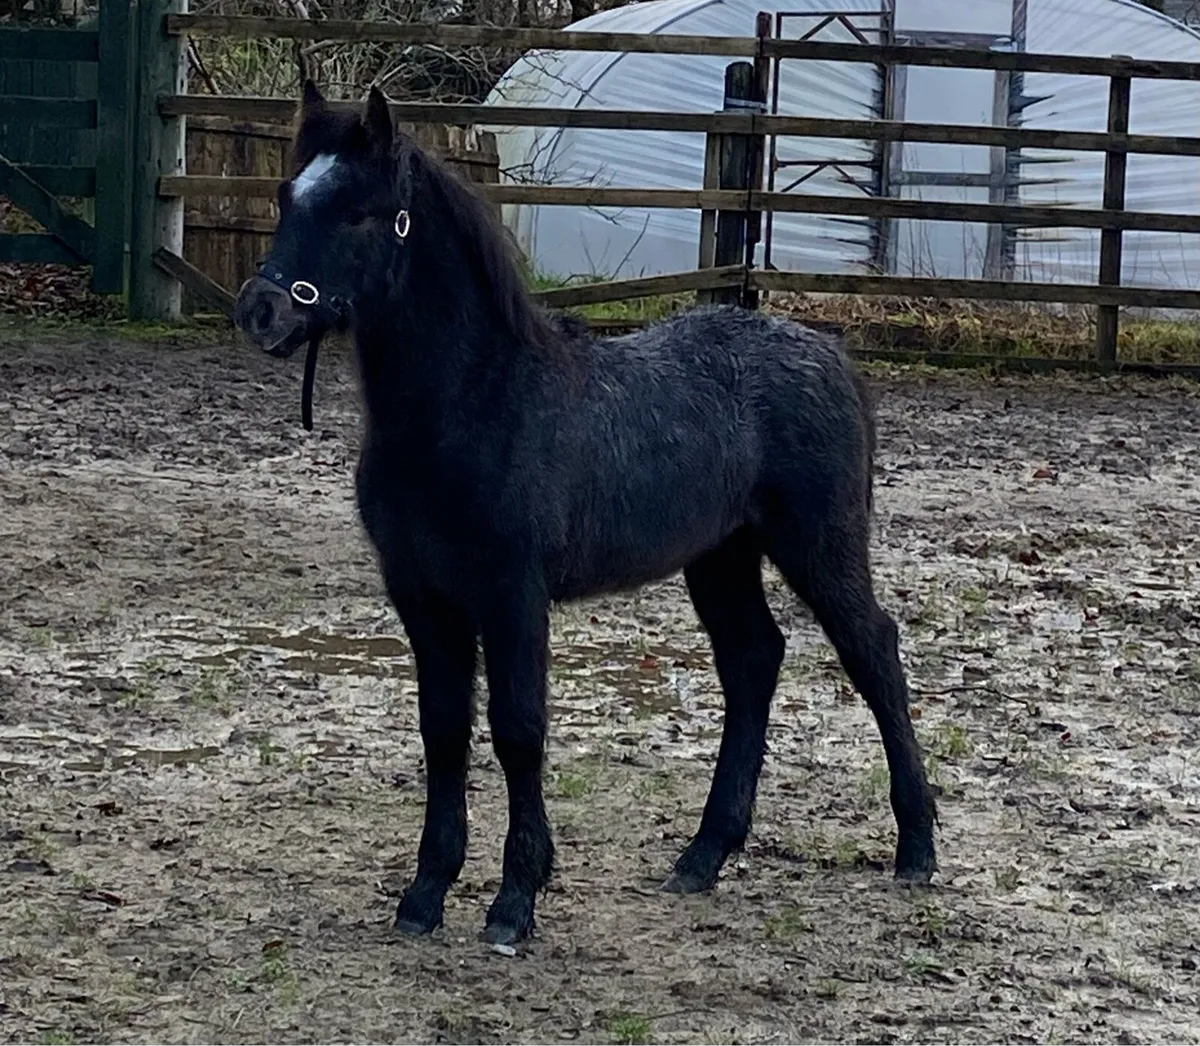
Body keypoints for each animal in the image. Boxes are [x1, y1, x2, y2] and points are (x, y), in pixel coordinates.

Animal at [233, 82, 938, 946]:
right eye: (286, 196)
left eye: (360, 213)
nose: (262, 310)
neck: (476, 404)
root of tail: (830, 353)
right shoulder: (423, 595)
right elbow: (443, 730)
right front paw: (425, 894)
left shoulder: (512, 593)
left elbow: (518, 730)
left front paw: (514, 901)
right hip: (721, 556)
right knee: (753, 661)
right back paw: (703, 855)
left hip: (818, 543)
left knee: (874, 652)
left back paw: (916, 846)